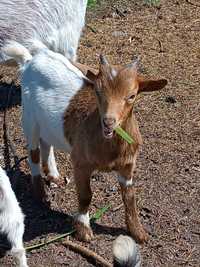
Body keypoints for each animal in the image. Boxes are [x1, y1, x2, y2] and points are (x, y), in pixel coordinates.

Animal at [2, 42, 167, 245]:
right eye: (97, 91)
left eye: (132, 95)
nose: (108, 122)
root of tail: (29, 60)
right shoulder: (81, 162)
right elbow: (86, 195)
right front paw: (83, 230)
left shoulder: (127, 166)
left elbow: (129, 196)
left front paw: (138, 232)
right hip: (29, 118)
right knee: (33, 152)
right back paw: (40, 193)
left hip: (47, 123)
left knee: (46, 142)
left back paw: (54, 176)